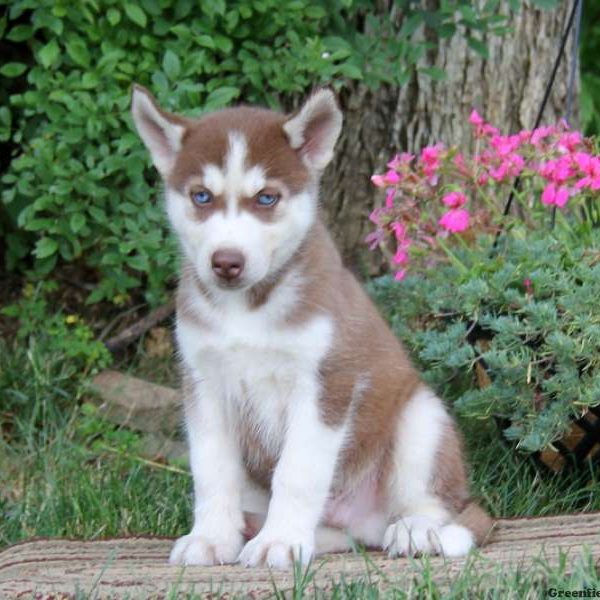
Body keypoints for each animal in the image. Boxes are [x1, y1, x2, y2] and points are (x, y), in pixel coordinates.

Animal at [131, 84, 492, 568]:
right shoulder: (203, 385)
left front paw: (280, 542)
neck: (247, 309)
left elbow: (297, 471)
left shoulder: (326, 383)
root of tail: (364, 519)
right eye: (201, 197)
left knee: (435, 504)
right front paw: (211, 538)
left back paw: (418, 531)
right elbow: (211, 471)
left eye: (266, 198)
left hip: (421, 418)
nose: (226, 262)